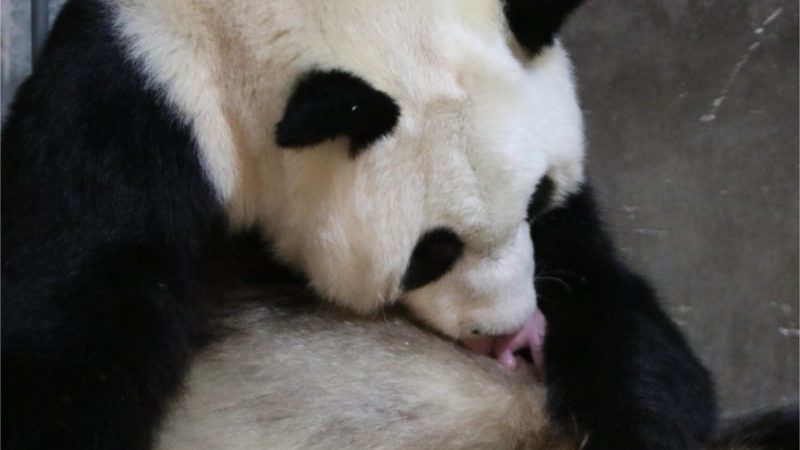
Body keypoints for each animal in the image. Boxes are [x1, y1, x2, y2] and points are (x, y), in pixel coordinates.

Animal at [2, 0, 717, 449]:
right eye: (432, 253)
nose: (510, 333)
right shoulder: (141, 97)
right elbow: (69, 318)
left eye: (538, 197)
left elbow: (595, 280)